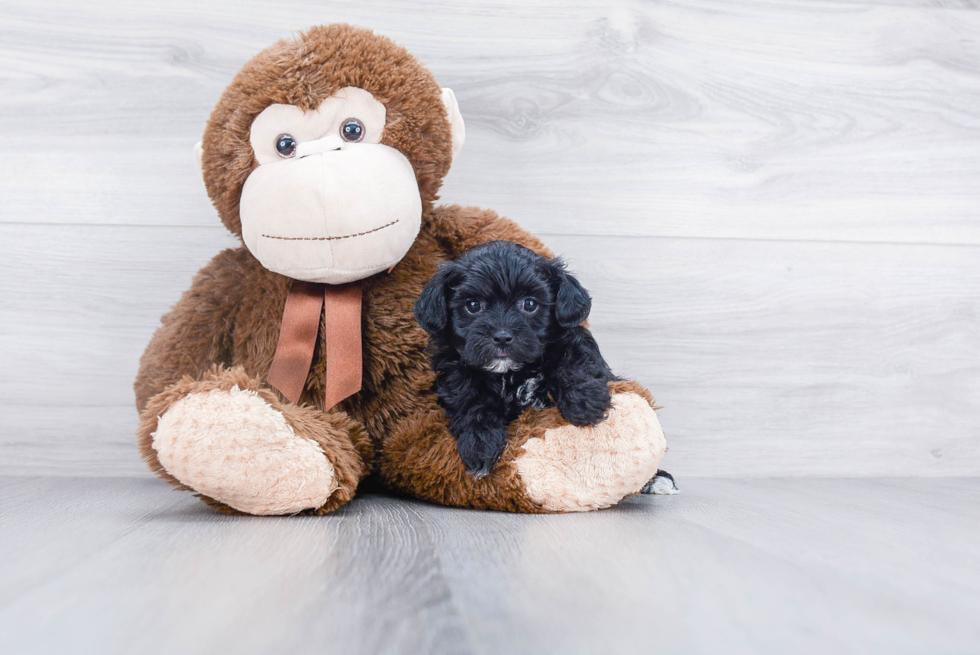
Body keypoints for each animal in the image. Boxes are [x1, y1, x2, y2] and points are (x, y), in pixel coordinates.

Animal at [412, 241, 612, 476]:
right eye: (473, 305)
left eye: (530, 304)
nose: (502, 336)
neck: (509, 373)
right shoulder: (456, 374)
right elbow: (470, 402)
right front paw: (479, 444)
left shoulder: (571, 340)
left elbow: (575, 358)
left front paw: (586, 403)